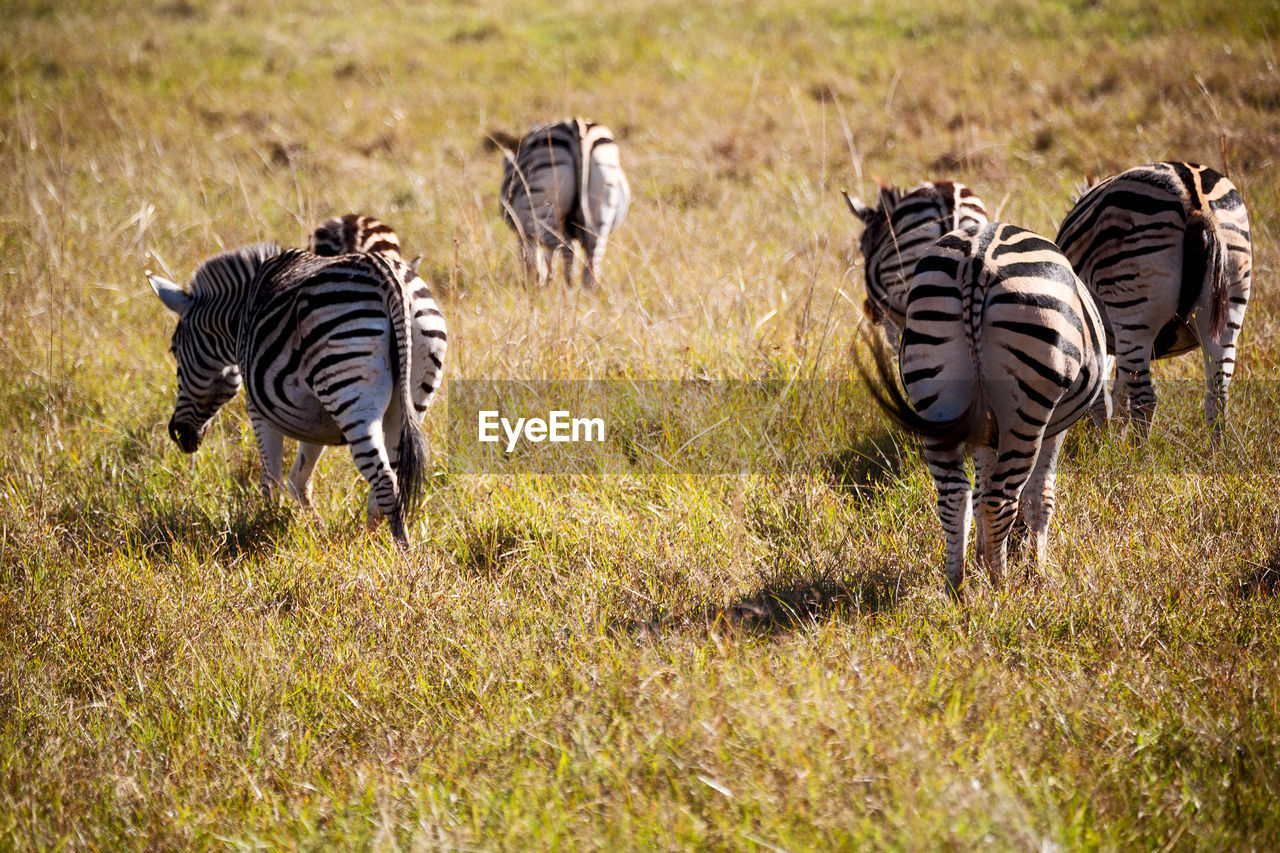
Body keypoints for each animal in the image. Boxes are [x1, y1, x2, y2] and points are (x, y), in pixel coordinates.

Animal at [147, 239, 448, 545]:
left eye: (173, 349)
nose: (178, 434)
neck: (240, 312)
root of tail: (386, 275)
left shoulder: (259, 409)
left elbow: (272, 480)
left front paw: (266, 529)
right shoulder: (316, 414)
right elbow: (298, 479)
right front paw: (317, 533)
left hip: (349, 393)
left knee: (385, 480)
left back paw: (401, 554)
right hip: (410, 395)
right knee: (392, 478)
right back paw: (367, 543)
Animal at [494, 116, 629, 289]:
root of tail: (578, 129)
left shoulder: (526, 231)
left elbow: (538, 260)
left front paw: (539, 285)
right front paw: (544, 284)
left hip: (546, 209)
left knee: (566, 249)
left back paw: (566, 288)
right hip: (602, 211)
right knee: (592, 261)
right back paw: (584, 293)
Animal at [860, 222, 1111, 594]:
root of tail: (977, 261)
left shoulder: (983, 431)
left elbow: (979, 493)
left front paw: (981, 562)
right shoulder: (1055, 429)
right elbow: (1039, 497)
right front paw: (1038, 575)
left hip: (935, 394)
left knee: (955, 496)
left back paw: (958, 589)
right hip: (1027, 408)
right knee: (1000, 499)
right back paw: (1001, 589)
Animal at [1054, 160, 1254, 432]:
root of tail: (1194, 199)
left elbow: (1103, 401)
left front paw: (1103, 440)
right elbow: (1118, 396)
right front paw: (1114, 437)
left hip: (1132, 308)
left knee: (1145, 400)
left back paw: (1137, 446)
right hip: (1229, 307)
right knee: (1218, 396)